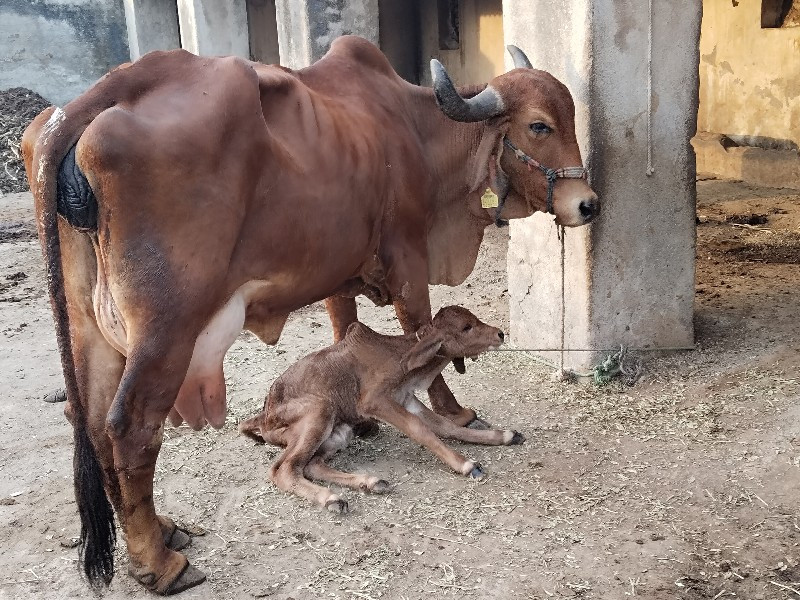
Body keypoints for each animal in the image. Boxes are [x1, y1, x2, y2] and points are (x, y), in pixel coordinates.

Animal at [238, 308, 524, 512]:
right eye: (466, 327)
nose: (500, 334)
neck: (399, 357)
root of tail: (262, 417)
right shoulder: (375, 401)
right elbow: (420, 429)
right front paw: (466, 464)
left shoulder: (406, 399)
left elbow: (447, 426)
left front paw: (503, 435)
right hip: (318, 411)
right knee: (284, 469)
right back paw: (331, 498)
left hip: (337, 433)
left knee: (311, 465)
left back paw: (370, 482)